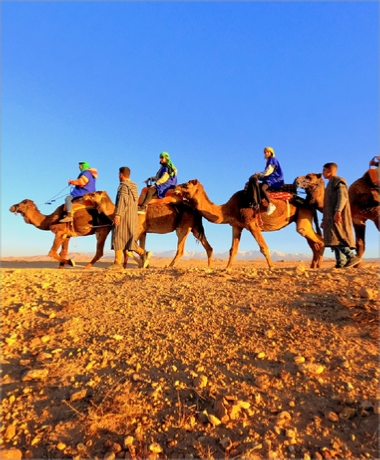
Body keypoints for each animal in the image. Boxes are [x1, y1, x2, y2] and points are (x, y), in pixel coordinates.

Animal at [83, 191, 214, 270]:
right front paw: (144, 263)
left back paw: (169, 266)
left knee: (181, 250)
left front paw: (144, 263)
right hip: (194, 228)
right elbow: (139, 248)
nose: (83, 196)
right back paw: (209, 267)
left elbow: (129, 249)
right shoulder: (143, 233)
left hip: (183, 227)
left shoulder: (138, 230)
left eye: (93, 194)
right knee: (208, 247)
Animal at [174, 174, 326, 272]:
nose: (175, 187)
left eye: (186, 184)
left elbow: (263, 247)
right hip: (303, 219)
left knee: (319, 240)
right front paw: (227, 268)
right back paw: (315, 266)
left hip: (303, 218)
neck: (228, 209)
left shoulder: (252, 224)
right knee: (315, 241)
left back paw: (319, 266)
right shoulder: (236, 226)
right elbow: (233, 249)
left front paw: (272, 267)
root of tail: (309, 204)